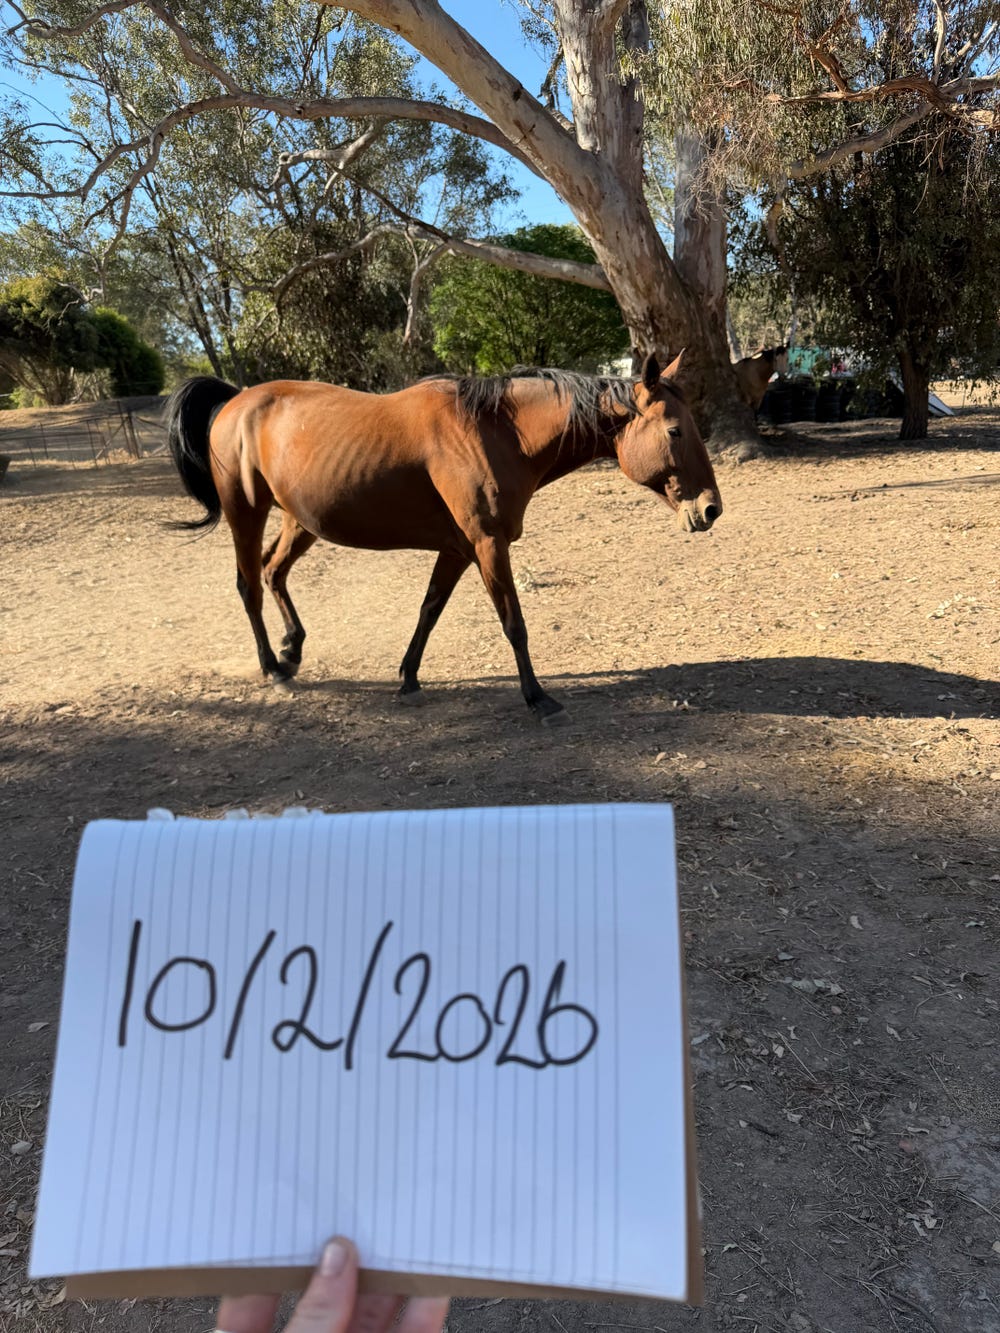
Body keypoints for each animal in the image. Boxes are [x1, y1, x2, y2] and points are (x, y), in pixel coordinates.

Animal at [164, 352, 721, 722]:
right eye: (675, 430)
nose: (710, 508)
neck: (496, 432)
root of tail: (236, 401)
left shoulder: (456, 550)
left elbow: (428, 611)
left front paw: (408, 676)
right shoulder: (487, 546)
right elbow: (514, 624)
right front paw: (537, 696)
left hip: (300, 522)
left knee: (273, 572)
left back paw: (292, 650)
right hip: (246, 511)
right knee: (249, 585)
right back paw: (271, 668)